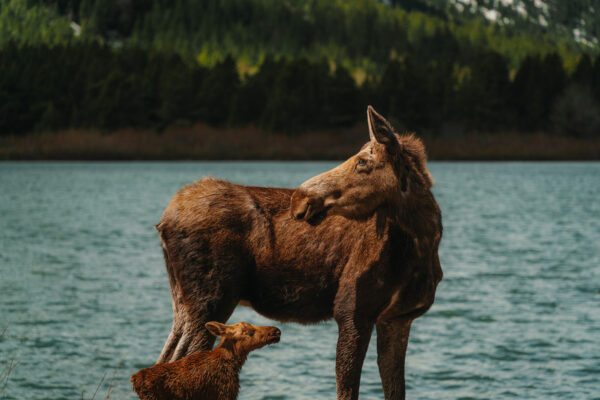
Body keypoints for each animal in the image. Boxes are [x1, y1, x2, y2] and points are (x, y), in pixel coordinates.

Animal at [157, 107, 442, 400]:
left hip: (184, 305)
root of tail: (164, 221)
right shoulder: (350, 311)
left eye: (363, 161)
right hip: (211, 300)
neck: (421, 245)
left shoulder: (398, 318)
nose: (300, 199)